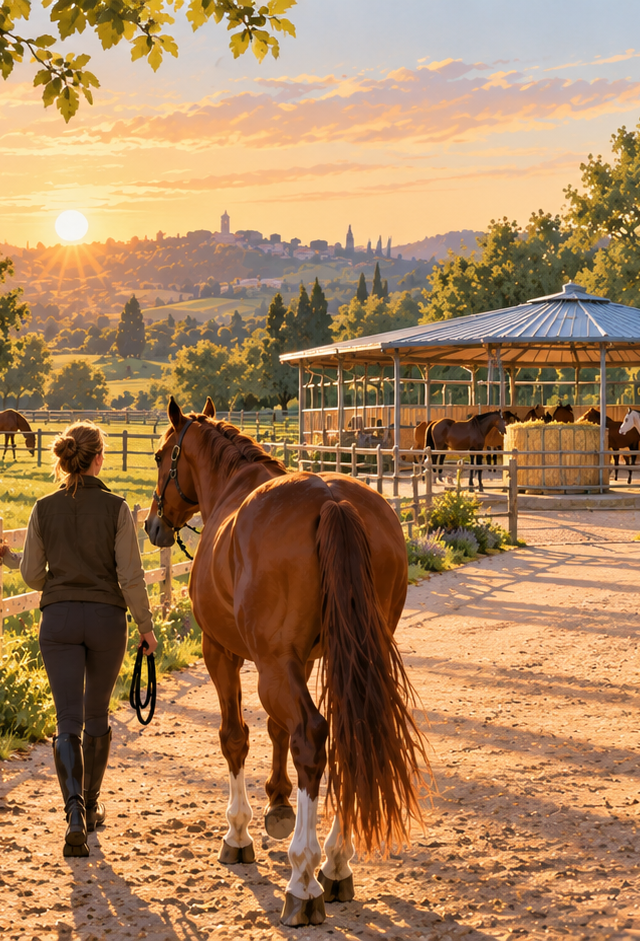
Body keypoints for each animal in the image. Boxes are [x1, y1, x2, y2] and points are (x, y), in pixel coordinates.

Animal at [145, 397, 431, 927]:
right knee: (343, 737)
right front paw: (278, 802)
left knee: (312, 737)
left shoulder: (225, 653)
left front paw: (239, 832)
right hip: (345, 657)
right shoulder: (304, 659)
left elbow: (236, 737)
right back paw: (336, 862)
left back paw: (304, 877)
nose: (154, 524)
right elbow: (277, 729)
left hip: (274, 664)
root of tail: (331, 501)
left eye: (159, 456)